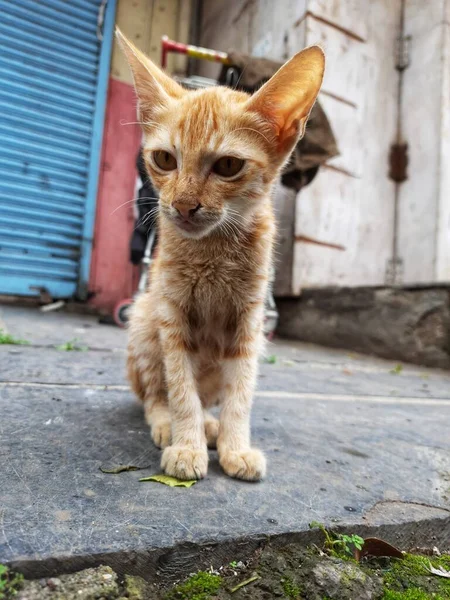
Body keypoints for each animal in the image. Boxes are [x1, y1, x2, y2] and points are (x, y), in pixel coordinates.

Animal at [118, 29, 326, 482]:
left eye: (228, 166)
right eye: (164, 159)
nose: (183, 205)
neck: (212, 253)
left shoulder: (250, 324)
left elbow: (241, 389)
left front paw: (235, 446)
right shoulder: (171, 316)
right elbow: (181, 388)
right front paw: (187, 444)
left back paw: (210, 426)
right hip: (143, 318)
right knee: (151, 394)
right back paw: (170, 424)